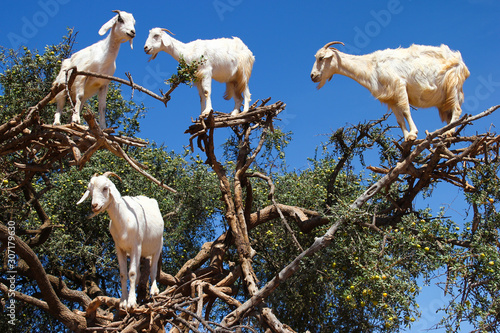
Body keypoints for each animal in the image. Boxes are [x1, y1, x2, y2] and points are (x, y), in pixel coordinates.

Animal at [76, 171, 163, 308]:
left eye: (105, 188)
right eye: (90, 190)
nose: (94, 206)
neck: (124, 219)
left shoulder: (136, 246)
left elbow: (132, 273)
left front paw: (131, 302)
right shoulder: (119, 248)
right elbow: (123, 274)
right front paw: (123, 301)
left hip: (158, 245)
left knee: (153, 269)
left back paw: (154, 290)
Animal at [310, 41, 470, 140]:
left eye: (321, 58)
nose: (312, 76)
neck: (371, 66)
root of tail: (461, 62)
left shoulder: (399, 85)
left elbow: (406, 110)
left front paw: (413, 134)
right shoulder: (391, 98)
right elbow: (399, 120)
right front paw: (406, 139)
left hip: (452, 84)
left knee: (457, 109)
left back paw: (449, 132)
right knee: (450, 113)